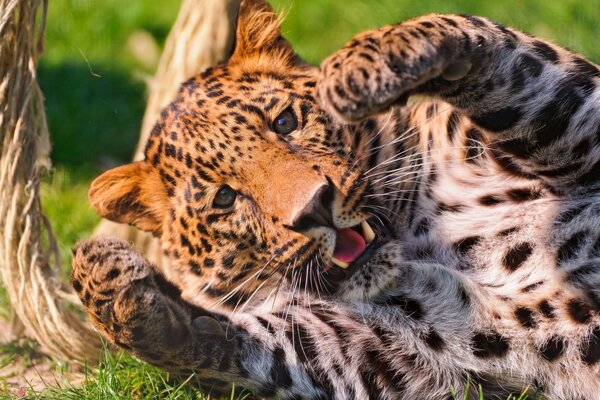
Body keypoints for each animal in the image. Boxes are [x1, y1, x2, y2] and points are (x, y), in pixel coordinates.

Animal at [69, 1, 600, 398]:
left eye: (285, 122)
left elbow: (502, 58)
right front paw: (105, 277)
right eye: (224, 199)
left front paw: (369, 63)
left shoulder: (582, 121)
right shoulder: (394, 347)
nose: (314, 207)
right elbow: (234, 344)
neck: (424, 234)